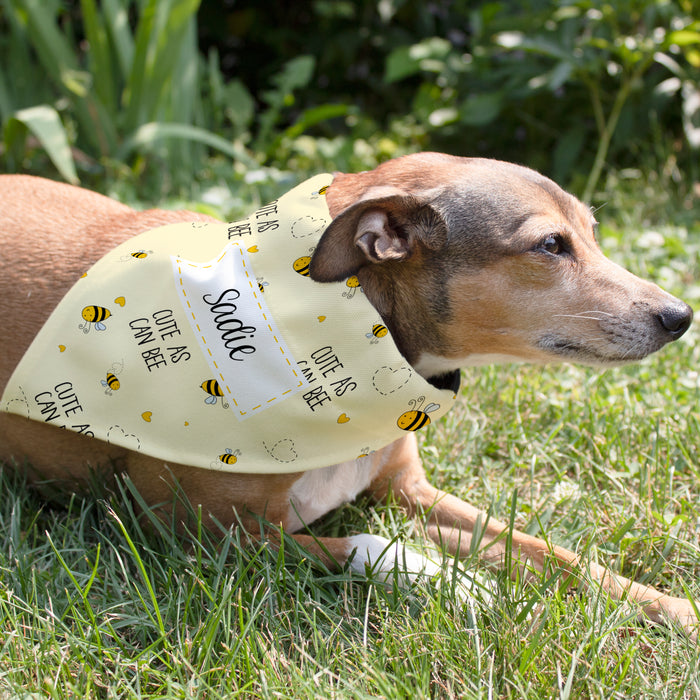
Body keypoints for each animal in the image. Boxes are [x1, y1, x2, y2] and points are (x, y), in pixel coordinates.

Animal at [0, 153, 696, 636]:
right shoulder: (201, 537)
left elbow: (547, 551)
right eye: (551, 245)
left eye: (594, 233)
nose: (680, 316)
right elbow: (369, 544)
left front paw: (659, 604)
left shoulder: (408, 491)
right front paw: (461, 585)